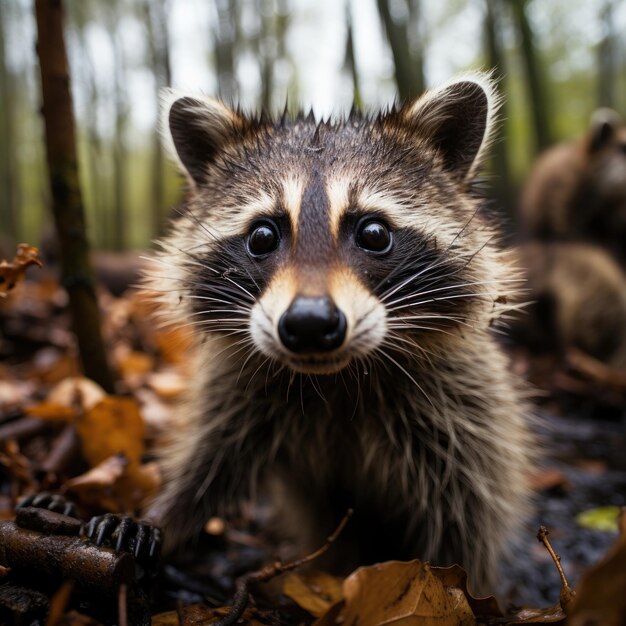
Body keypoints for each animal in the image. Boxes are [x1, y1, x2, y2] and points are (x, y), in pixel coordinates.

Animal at [146, 73, 532, 584]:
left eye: (374, 233)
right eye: (262, 236)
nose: (310, 324)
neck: (335, 379)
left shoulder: (465, 405)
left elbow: (467, 516)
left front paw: (457, 587)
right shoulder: (236, 388)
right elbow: (210, 459)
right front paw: (164, 515)